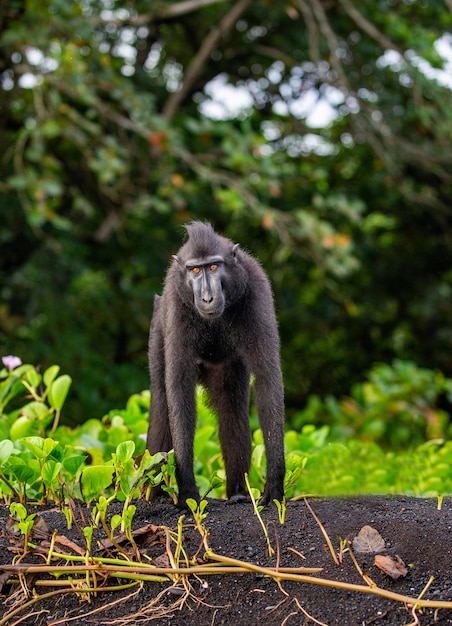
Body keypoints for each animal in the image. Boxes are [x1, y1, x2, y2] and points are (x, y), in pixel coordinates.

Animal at [147, 222, 284, 504]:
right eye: (195, 270)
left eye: (213, 267)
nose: (208, 298)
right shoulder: (176, 302)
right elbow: (178, 388)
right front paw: (187, 487)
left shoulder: (256, 289)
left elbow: (267, 377)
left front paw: (275, 484)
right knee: (162, 403)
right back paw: (154, 495)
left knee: (231, 407)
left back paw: (238, 492)